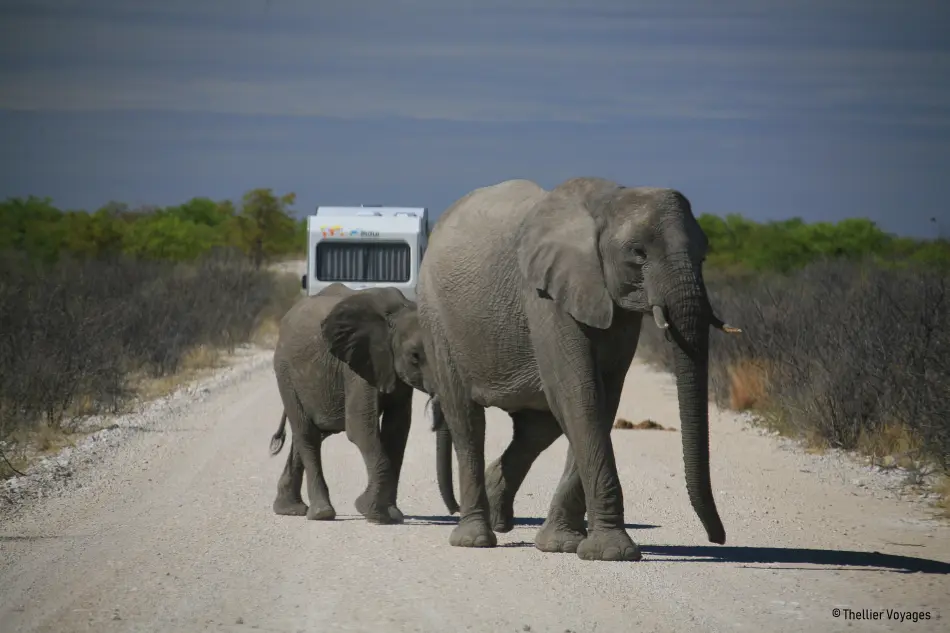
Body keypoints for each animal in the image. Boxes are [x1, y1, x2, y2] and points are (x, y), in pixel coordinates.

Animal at [269, 282, 459, 523]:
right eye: (415, 356)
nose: (456, 510)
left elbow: (397, 430)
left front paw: (390, 514)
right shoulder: (359, 364)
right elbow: (361, 428)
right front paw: (370, 511)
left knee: (311, 434)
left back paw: (289, 509)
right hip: (285, 373)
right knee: (306, 434)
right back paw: (321, 513)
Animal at [417, 177, 740, 561]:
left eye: (703, 256)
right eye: (638, 253)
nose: (718, 538)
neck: (608, 201)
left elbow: (602, 400)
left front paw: (562, 546)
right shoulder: (545, 297)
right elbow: (580, 396)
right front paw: (613, 552)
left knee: (537, 428)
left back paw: (499, 516)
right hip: (436, 317)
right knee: (465, 418)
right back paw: (475, 538)